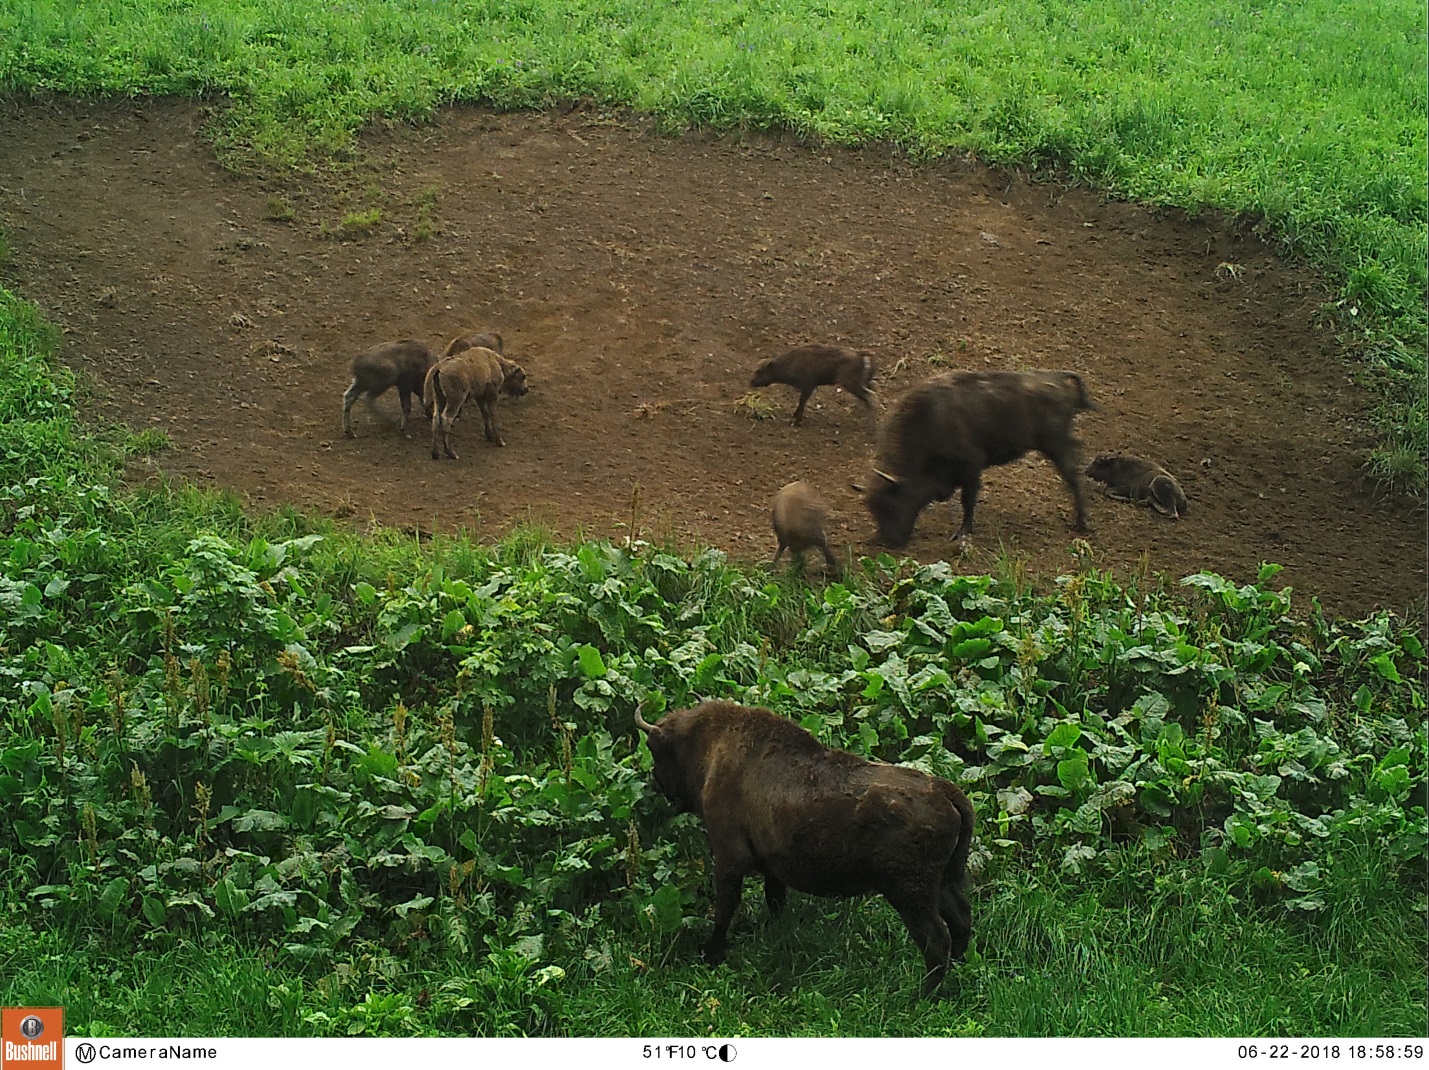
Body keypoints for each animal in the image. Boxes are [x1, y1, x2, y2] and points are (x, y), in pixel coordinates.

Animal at [634, 700, 971, 994]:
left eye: (656, 750)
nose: (659, 784)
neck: (713, 743)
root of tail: (945, 791)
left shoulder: (729, 858)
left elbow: (725, 907)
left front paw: (711, 953)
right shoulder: (772, 869)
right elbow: (775, 901)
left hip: (910, 895)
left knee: (936, 938)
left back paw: (921, 994)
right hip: (941, 884)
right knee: (960, 920)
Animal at [743, 342, 874, 425]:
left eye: (760, 371)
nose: (752, 382)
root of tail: (859, 353)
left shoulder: (808, 386)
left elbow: (802, 402)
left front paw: (796, 421)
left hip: (851, 384)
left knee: (869, 397)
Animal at [851, 368, 1097, 551]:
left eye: (891, 503)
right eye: (873, 508)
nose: (889, 542)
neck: (928, 420)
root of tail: (1058, 379)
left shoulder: (971, 467)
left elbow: (967, 500)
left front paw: (962, 533)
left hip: (1055, 446)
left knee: (1073, 478)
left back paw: (1081, 524)